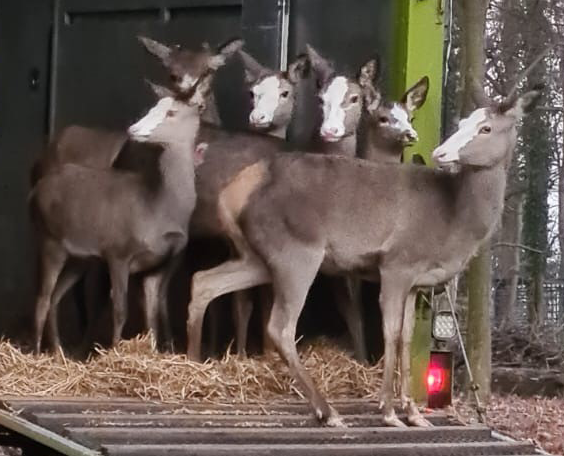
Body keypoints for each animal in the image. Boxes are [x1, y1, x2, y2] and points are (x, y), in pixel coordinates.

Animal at [29, 74, 209, 352]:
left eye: (171, 112)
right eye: (151, 107)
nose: (133, 129)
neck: (158, 208)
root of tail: (34, 193)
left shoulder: (159, 263)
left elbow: (152, 313)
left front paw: (153, 350)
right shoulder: (119, 251)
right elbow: (119, 309)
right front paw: (114, 350)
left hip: (79, 258)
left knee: (55, 298)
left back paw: (58, 353)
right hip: (50, 240)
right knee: (42, 299)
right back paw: (38, 353)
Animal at [187, 86, 544, 428]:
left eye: (485, 127)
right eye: (462, 123)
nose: (440, 153)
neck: (455, 220)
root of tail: (234, 192)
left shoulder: (416, 281)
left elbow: (407, 338)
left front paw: (413, 412)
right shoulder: (397, 263)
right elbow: (391, 333)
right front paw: (388, 411)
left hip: (257, 256)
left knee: (203, 281)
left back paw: (192, 362)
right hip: (295, 250)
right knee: (281, 327)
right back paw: (327, 411)